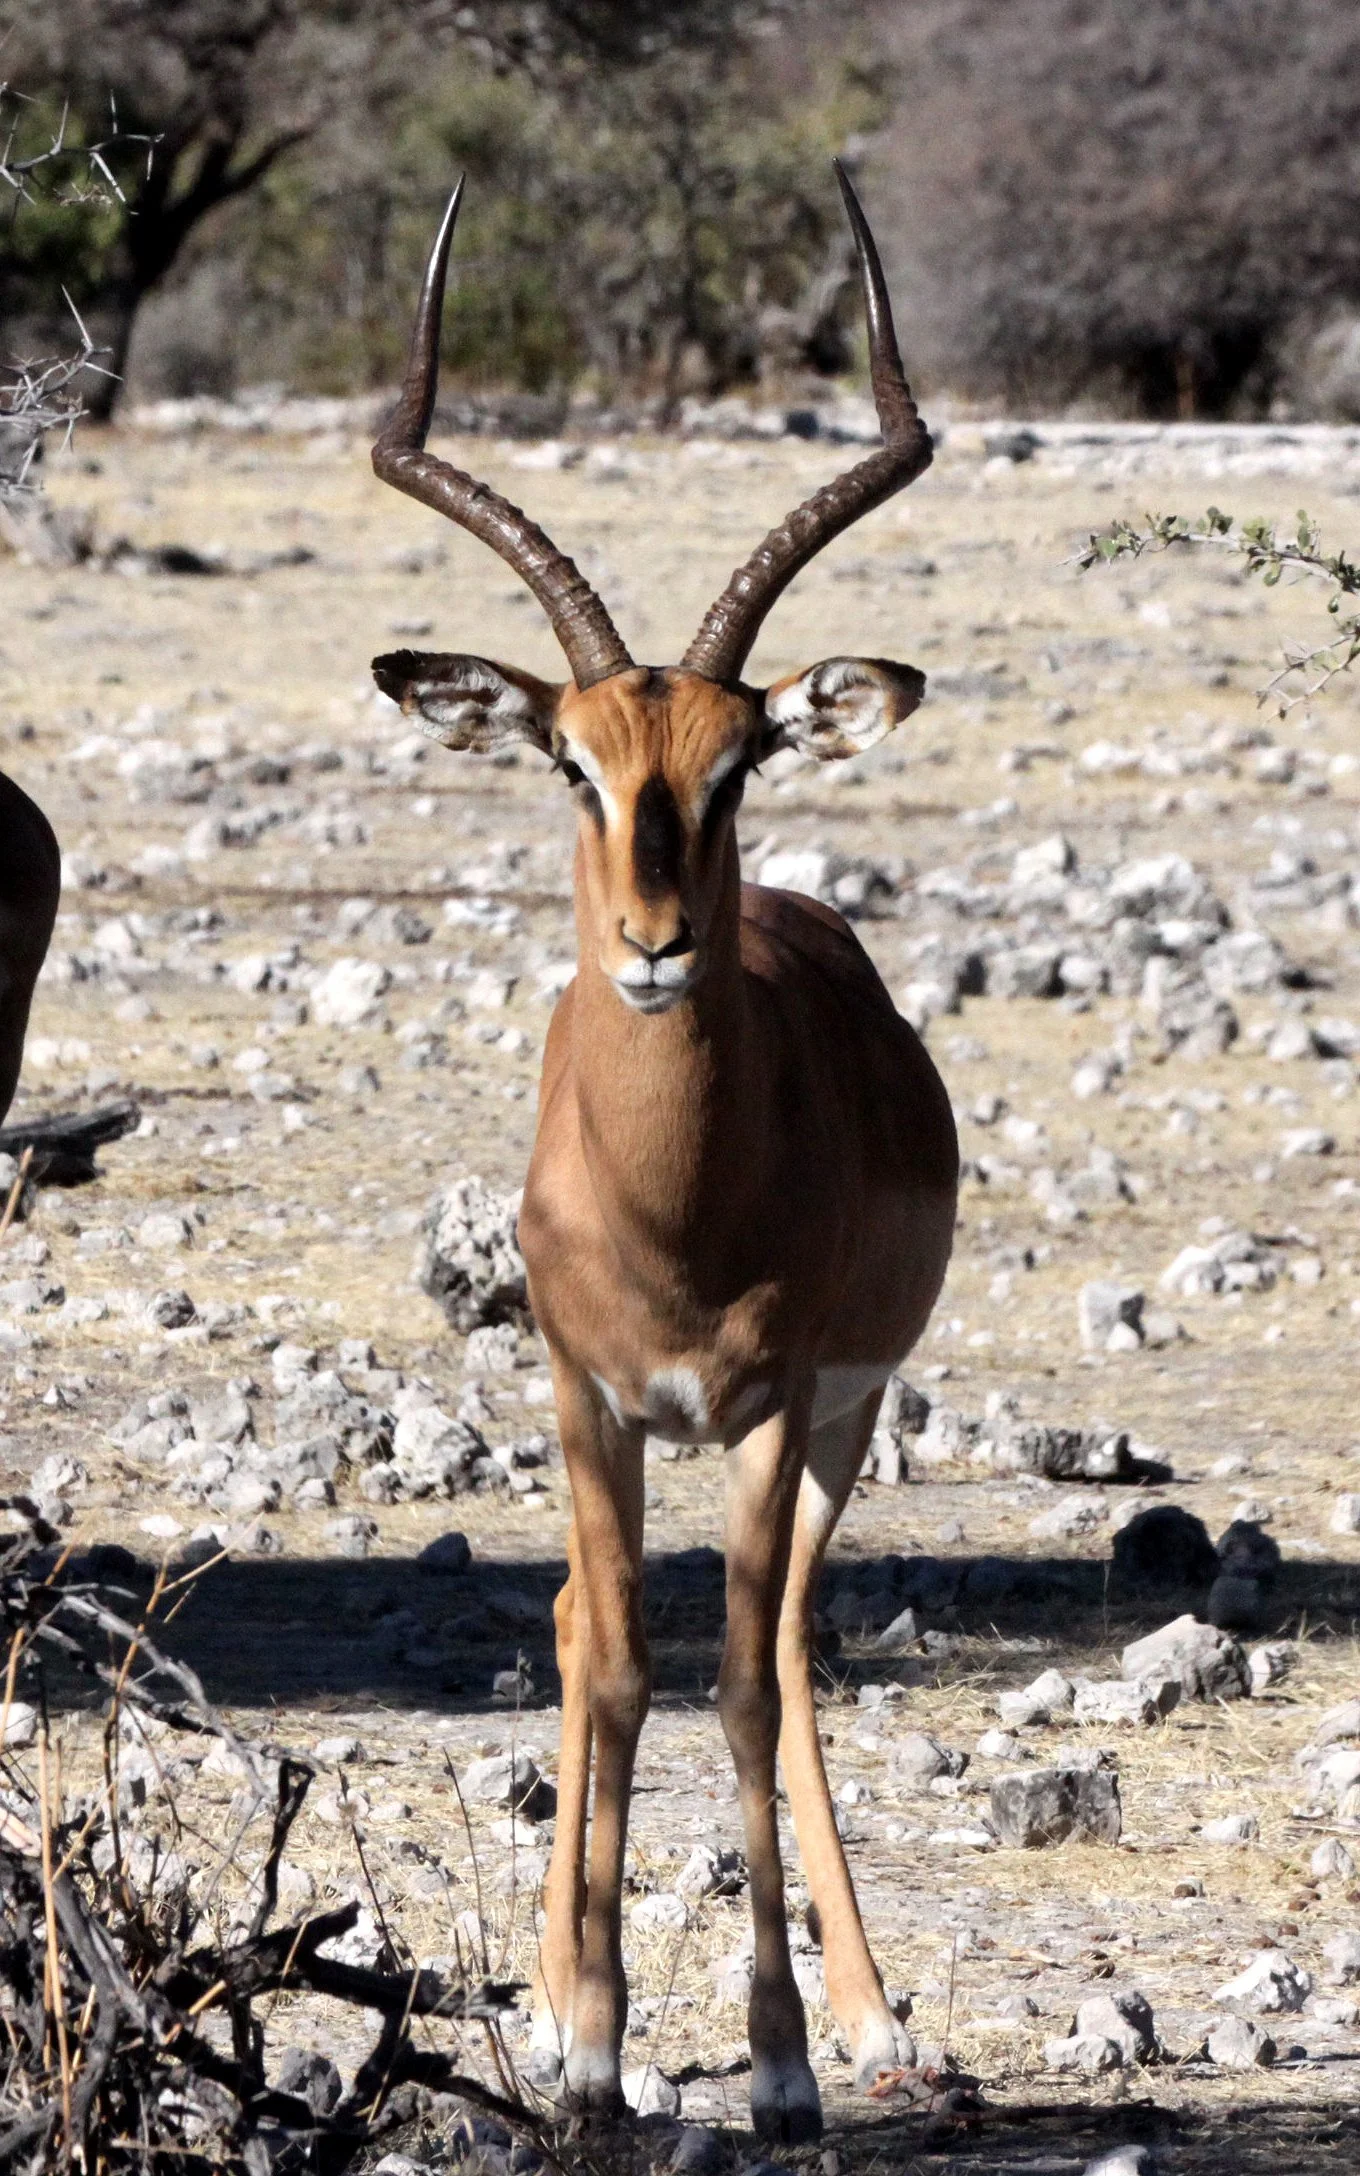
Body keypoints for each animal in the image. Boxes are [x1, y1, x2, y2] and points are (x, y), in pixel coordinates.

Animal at [371, 166, 959, 2144]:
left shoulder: (773, 1403)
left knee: (777, 1649)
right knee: (575, 1619)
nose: (652, 941)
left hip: (852, 1419)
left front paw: (776, 2065)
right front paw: (591, 2050)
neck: (678, 1213)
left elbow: (737, 1687)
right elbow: (617, 1661)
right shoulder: (588, 1393)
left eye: (744, 753)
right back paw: (567, 2003)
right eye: (569, 758)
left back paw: (866, 2019)